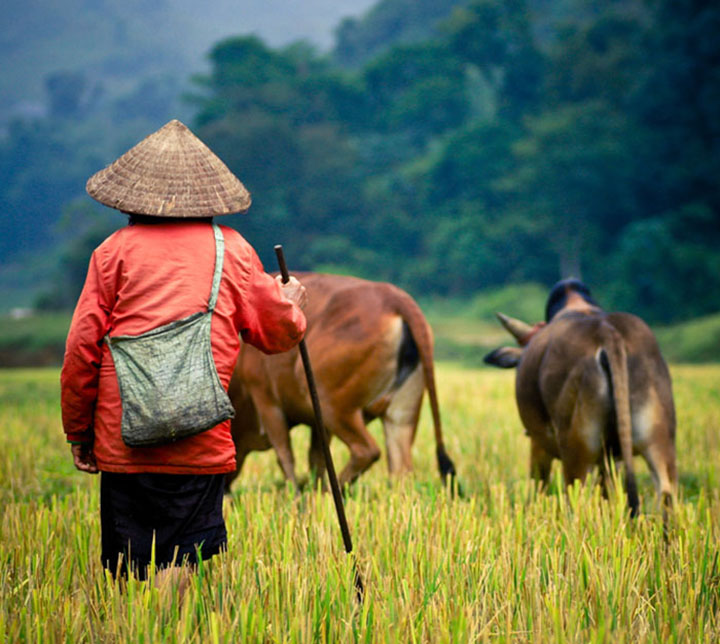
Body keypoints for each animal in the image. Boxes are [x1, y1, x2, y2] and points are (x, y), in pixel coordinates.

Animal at [225, 272, 456, 488]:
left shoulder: (266, 399)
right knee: (401, 471)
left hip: (333, 404)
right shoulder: (317, 424)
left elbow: (285, 456)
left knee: (367, 450)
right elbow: (316, 459)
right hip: (401, 415)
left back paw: (332, 490)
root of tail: (394, 298)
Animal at [484, 280, 676, 516]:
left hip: (576, 448)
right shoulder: (610, 459)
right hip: (658, 440)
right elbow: (605, 493)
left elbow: (539, 487)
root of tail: (607, 332)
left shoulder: (539, 443)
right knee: (666, 493)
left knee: (575, 500)